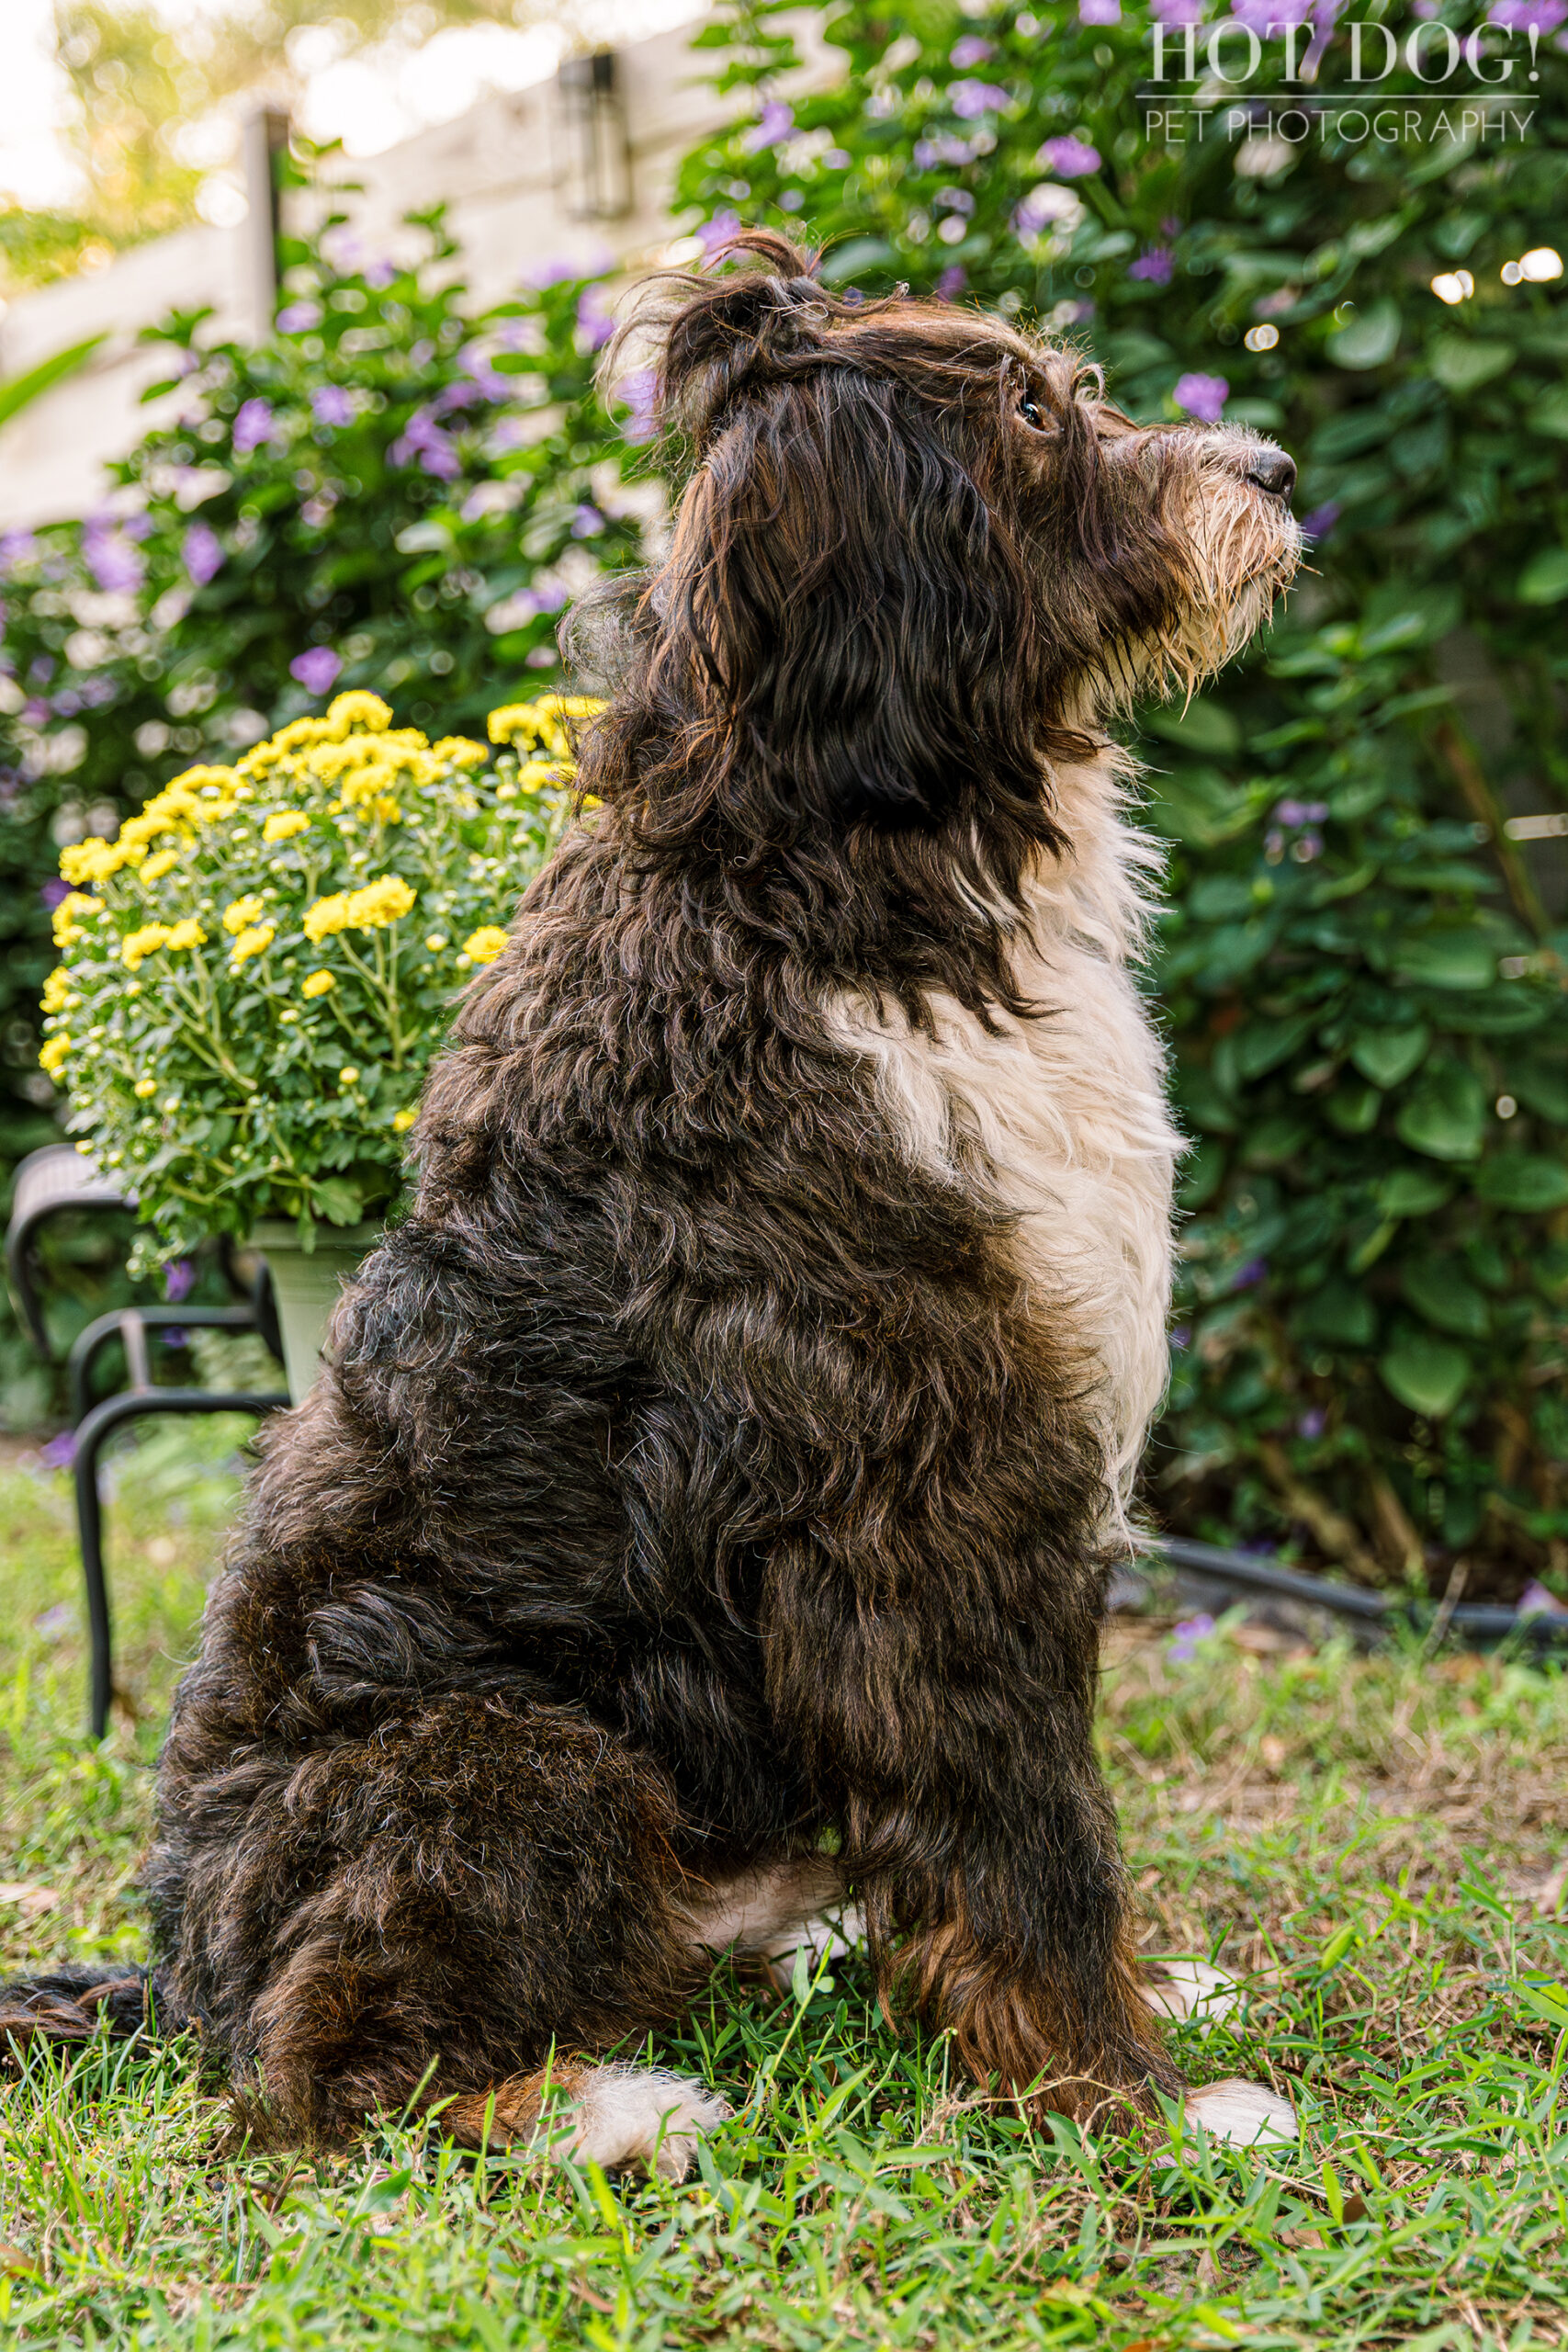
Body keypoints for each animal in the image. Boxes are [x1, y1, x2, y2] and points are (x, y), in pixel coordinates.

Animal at [0, 238, 1297, 2164]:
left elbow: (1021, 1835)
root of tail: (179, 1979)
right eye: (1027, 409)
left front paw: (1143, 2017)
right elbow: (1027, 1842)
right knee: (325, 2065)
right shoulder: (921, 1493)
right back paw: (604, 2108)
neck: (826, 857)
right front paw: (1123, 2098)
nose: (1276, 474)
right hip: (499, 1756)